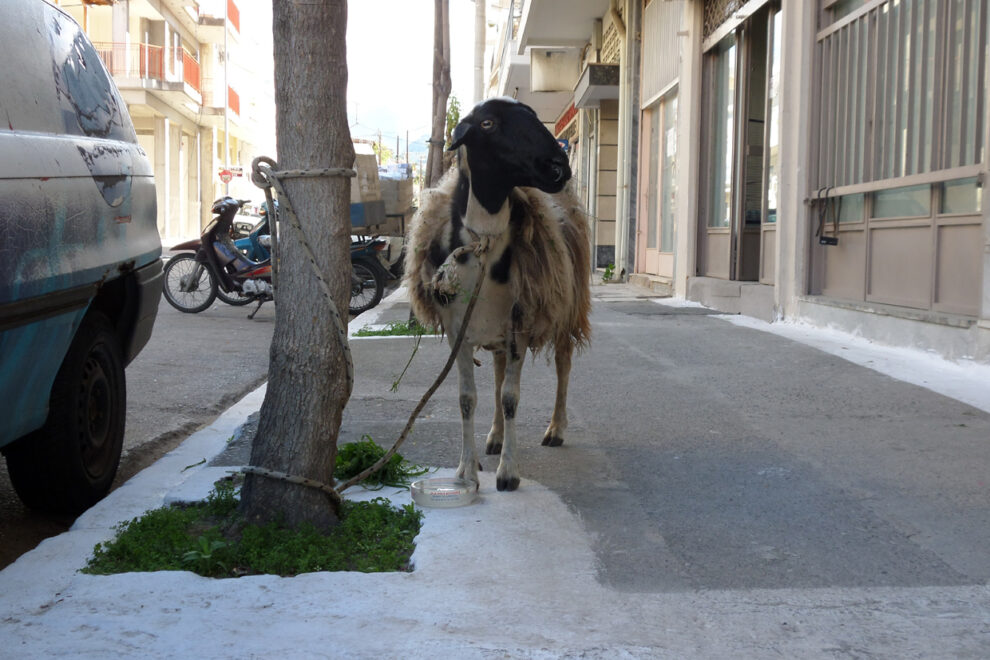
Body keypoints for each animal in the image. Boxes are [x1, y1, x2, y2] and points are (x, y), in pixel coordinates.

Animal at [404, 98, 588, 490]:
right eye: (487, 123)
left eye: (534, 117)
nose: (558, 167)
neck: (483, 245)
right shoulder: (458, 330)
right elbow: (467, 399)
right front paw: (466, 469)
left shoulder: (521, 321)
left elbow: (510, 398)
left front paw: (508, 474)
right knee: (500, 372)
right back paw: (496, 437)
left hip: (564, 309)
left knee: (563, 365)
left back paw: (555, 428)